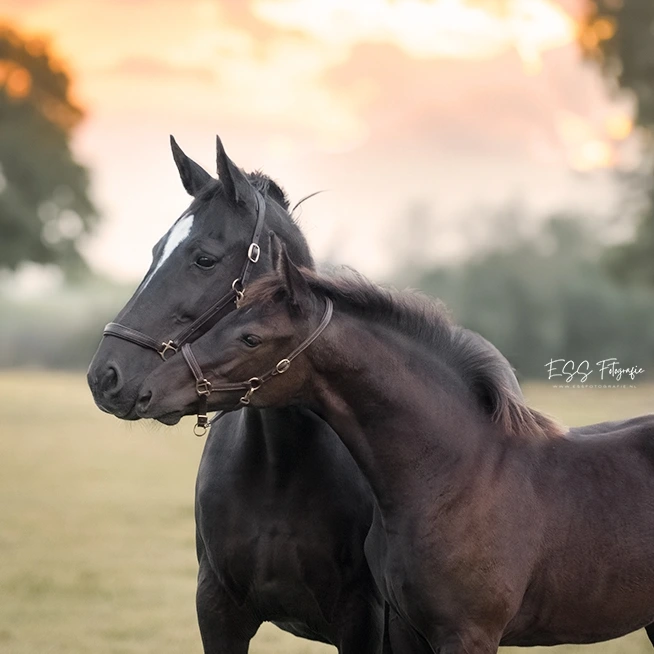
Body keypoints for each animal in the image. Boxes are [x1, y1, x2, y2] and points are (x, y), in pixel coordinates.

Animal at [87, 136, 438, 652]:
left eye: (204, 258)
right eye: (155, 250)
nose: (105, 376)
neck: (278, 467)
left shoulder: (363, 620)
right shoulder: (217, 611)